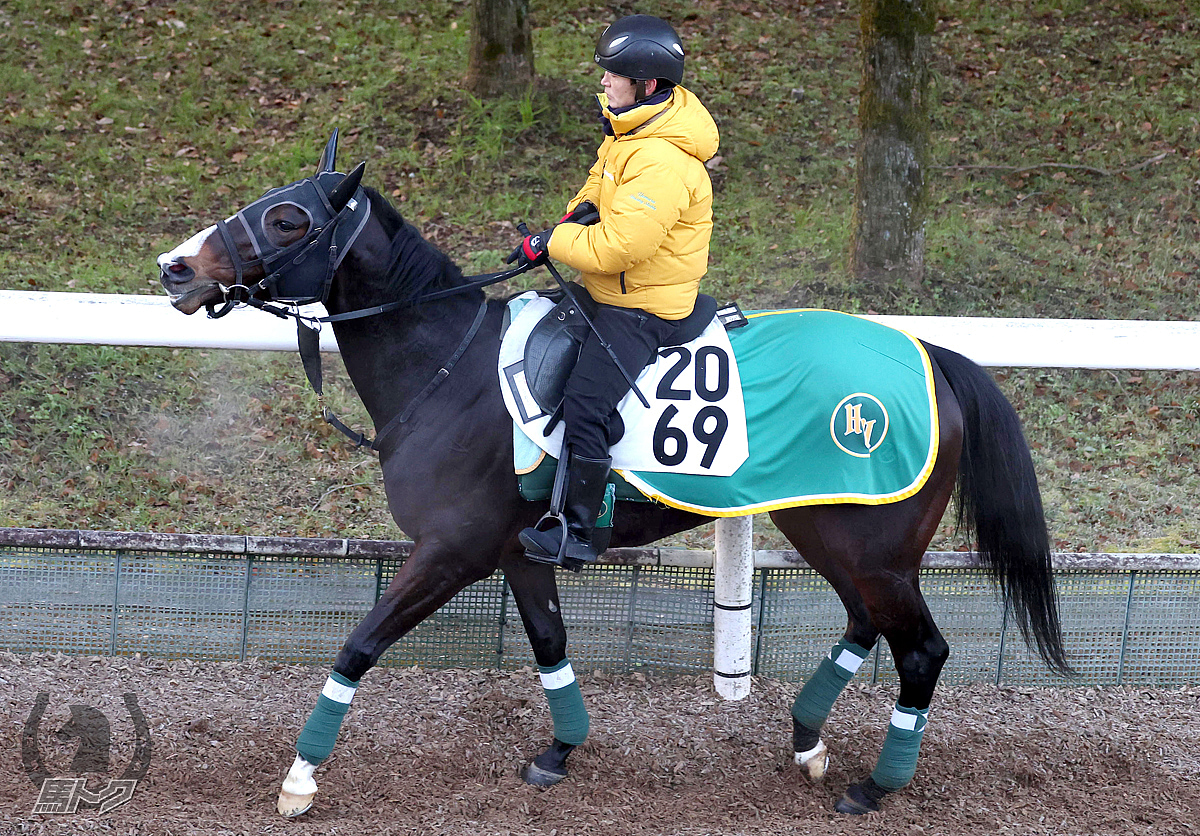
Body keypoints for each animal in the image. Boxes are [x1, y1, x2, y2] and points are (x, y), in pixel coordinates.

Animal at [157, 133, 1070, 820]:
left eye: (286, 218)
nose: (175, 267)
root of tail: (933, 355)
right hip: (829, 528)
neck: (449, 369)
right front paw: (560, 749)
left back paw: (875, 785)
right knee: (863, 625)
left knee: (921, 650)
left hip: (869, 543)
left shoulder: (450, 552)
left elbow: (358, 644)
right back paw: (808, 742)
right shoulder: (519, 553)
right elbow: (550, 645)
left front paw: (300, 778)